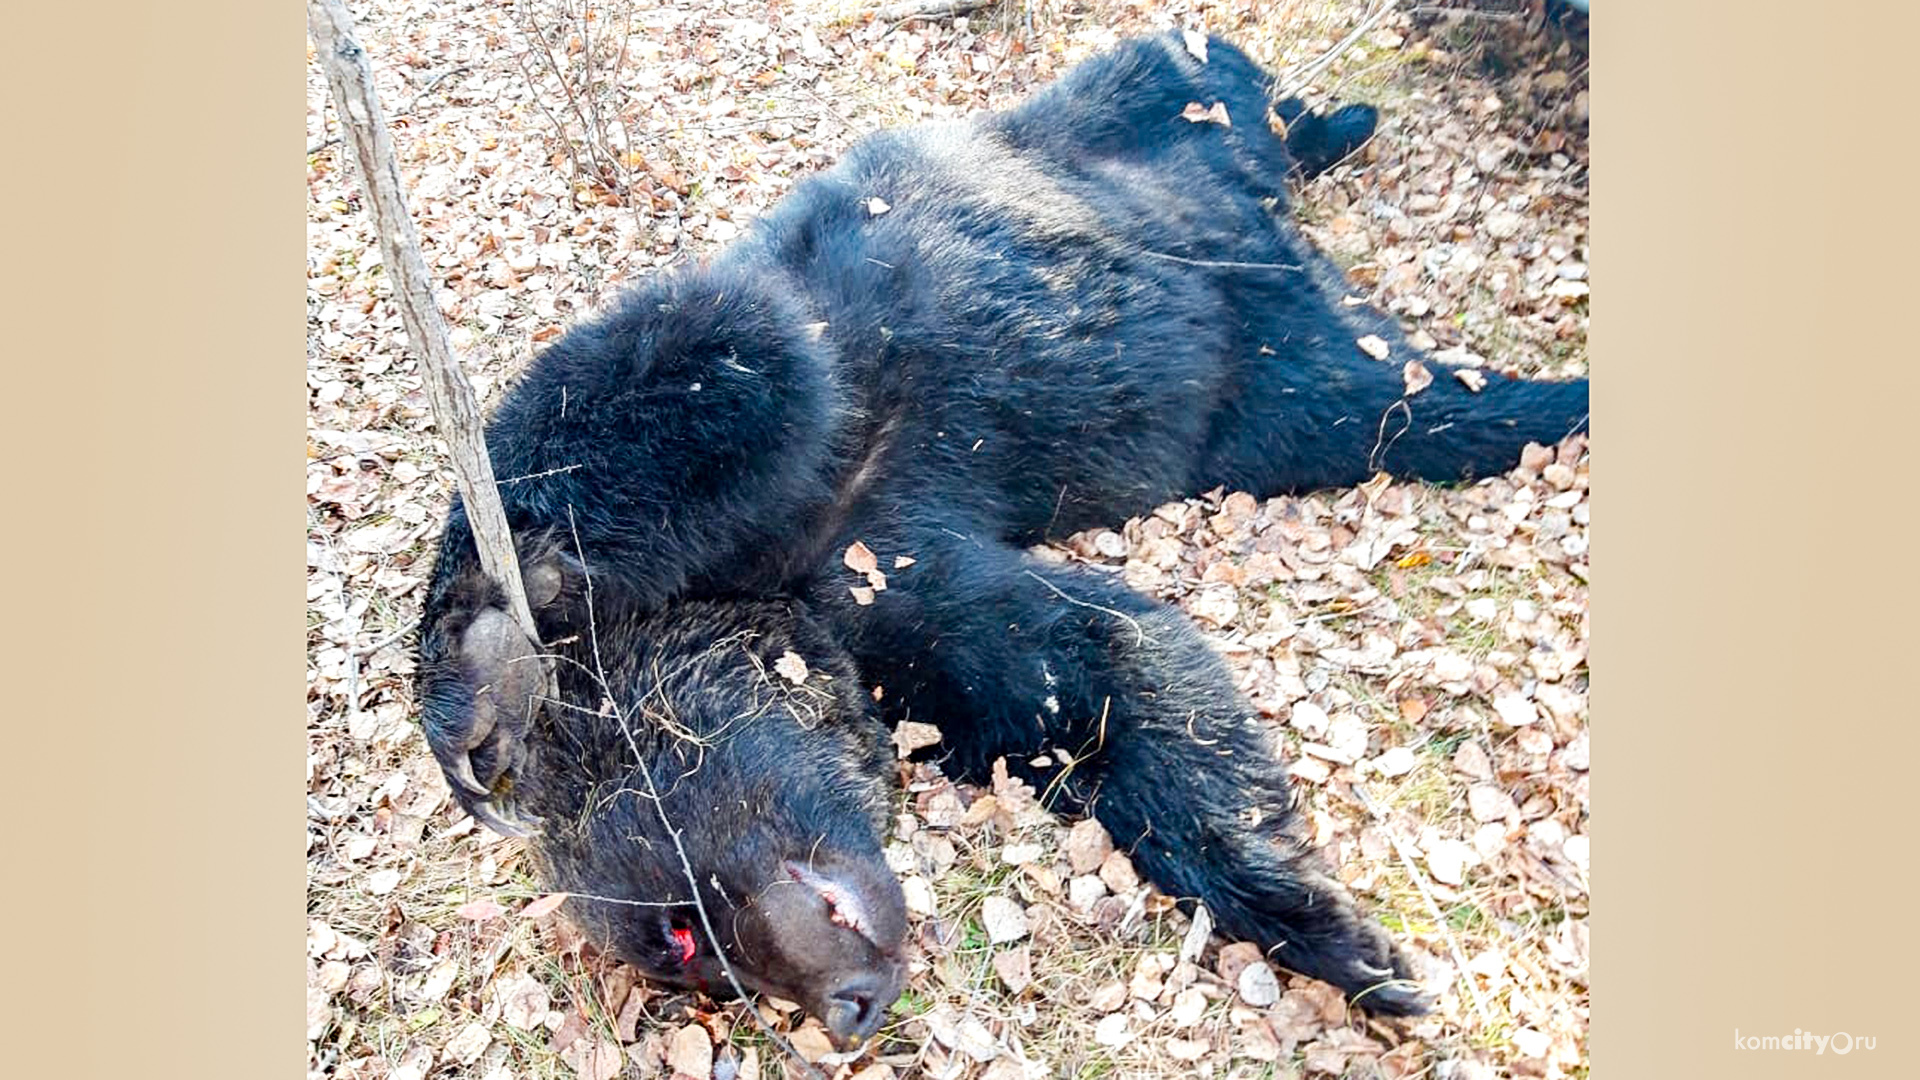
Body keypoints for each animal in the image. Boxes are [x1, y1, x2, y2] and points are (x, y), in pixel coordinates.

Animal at [412, 31, 1582, 1045]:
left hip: (1128, 127)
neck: (777, 590)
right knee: (1396, 396)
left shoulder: (790, 430)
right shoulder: (901, 616)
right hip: (1265, 399)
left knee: (1220, 89)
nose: (850, 1009)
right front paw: (1326, 929)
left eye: (682, 927)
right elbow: (1095, 676)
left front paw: (477, 680)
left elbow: (695, 368)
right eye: (710, 976)